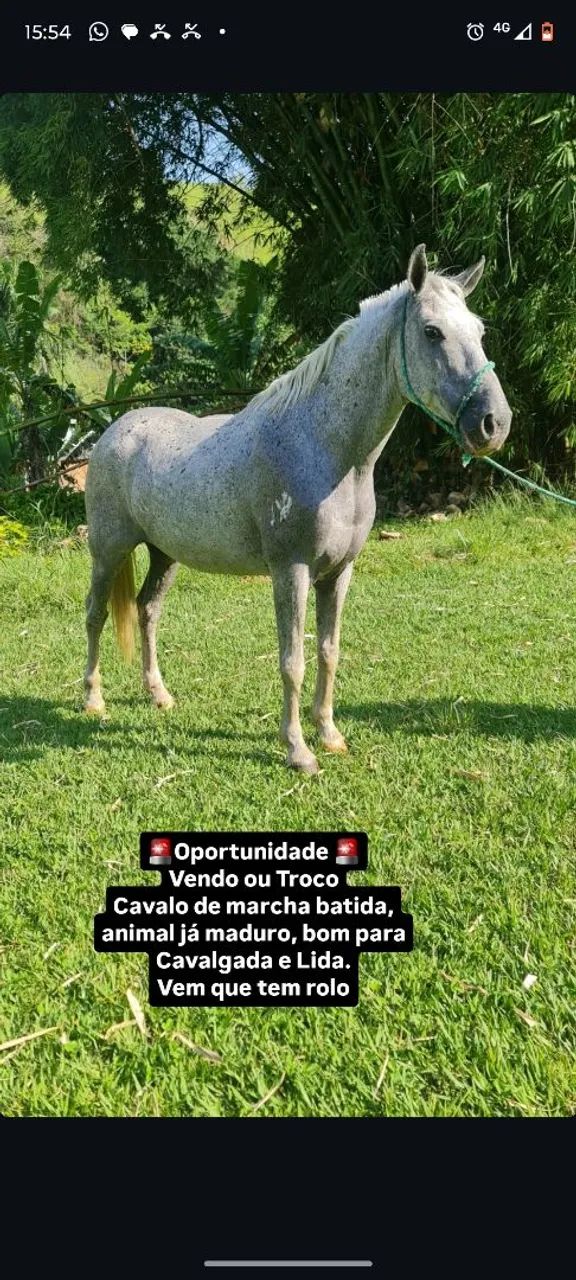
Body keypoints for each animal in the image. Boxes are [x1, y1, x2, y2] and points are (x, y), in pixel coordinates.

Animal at [83, 244, 512, 774]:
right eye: (432, 332)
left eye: (479, 331)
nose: (493, 423)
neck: (324, 449)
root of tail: (114, 431)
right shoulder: (292, 571)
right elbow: (292, 660)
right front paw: (298, 750)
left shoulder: (338, 573)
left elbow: (328, 652)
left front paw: (329, 734)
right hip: (108, 551)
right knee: (96, 614)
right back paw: (93, 699)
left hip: (164, 554)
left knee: (147, 611)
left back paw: (158, 695)